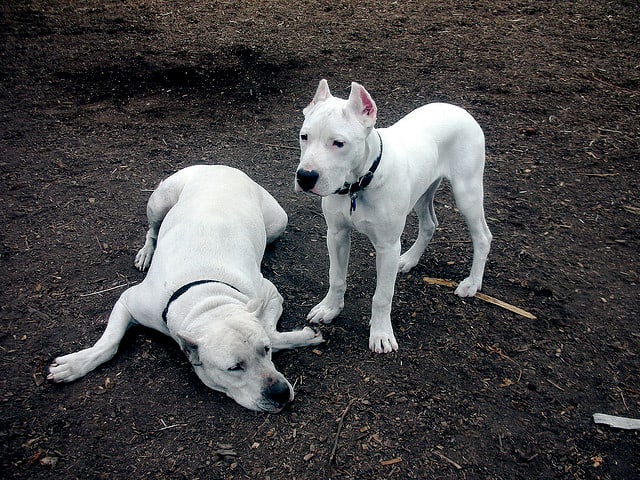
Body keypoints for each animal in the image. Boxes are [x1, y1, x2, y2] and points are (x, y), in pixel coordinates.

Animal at [48, 165, 324, 412]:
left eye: (265, 351)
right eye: (234, 368)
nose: (281, 393)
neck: (205, 297)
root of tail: (222, 166)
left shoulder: (268, 293)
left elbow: (270, 331)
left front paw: (302, 336)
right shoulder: (129, 301)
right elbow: (109, 342)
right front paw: (75, 365)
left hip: (277, 223)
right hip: (160, 201)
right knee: (152, 230)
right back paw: (146, 253)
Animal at [292, 80, 492, 354]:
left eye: (339, 143)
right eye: (304, 136)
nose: (305, 176)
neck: (359, 184)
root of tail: (458, 109)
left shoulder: (387, 246)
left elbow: (382, 296)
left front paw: (381, 334)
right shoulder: (336, 234)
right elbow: (336, 278)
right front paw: (330, 308)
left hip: (467, 192)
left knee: (482, 236)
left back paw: (472, 282)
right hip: (423, 191)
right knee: (429, 224)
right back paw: (408, 259)